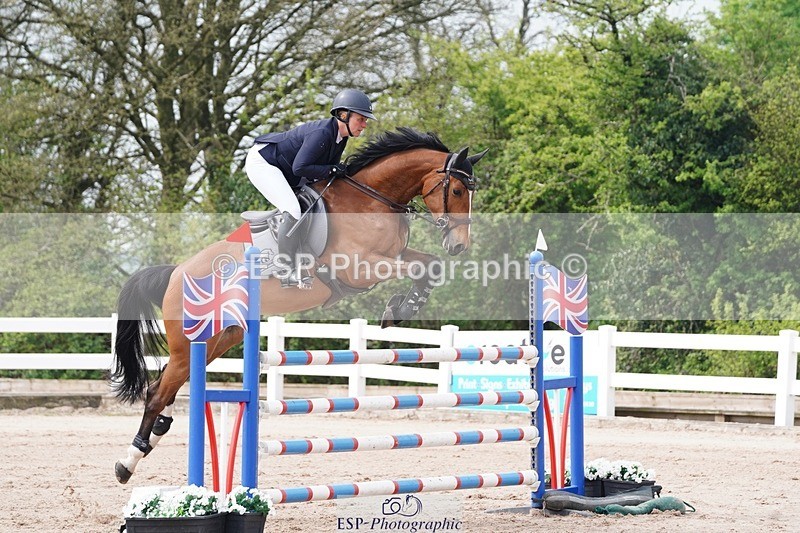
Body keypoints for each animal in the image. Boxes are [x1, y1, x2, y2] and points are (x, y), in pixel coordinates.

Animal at [111, 127, 487, 484]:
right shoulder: (360, 268)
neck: (373, 200)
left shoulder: (396, 255)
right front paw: (399, 309)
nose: (459, 245)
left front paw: (402, 308)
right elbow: (421, 268)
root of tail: (176, 273)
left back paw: (145, 445)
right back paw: (127, 464)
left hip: (220, 338)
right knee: (157, 393)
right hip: (191, 340)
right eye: (457, 191)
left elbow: (430, 265)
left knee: (166, 388)